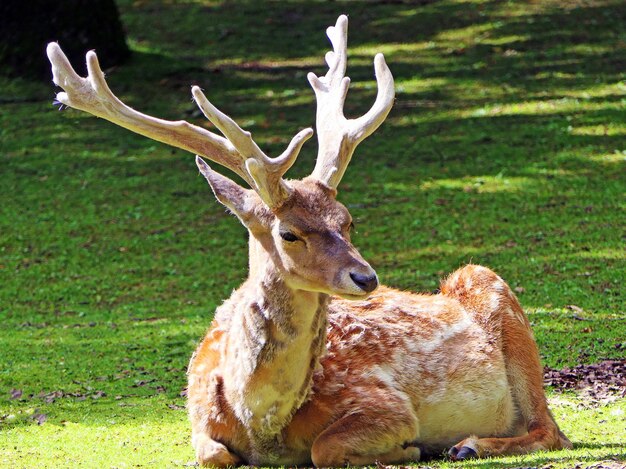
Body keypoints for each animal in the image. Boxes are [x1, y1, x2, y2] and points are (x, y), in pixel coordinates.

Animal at [47, 13, 572, 464]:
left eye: (348, 220)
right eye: (289, 232)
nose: (366, 278)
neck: (261, 424)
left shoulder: (386, 403)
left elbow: (325, 448)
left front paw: (411, 448)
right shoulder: (196, 412)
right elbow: (213, 453)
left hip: (492, 288)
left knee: (551, 431)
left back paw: (468, 444)